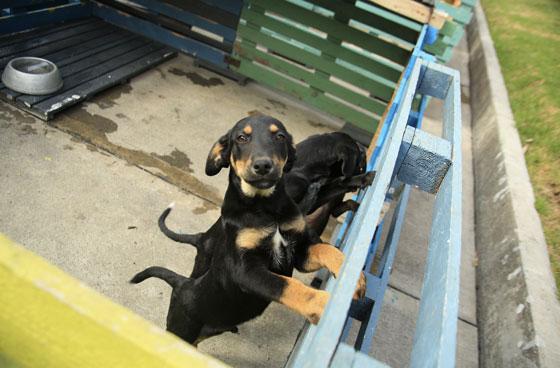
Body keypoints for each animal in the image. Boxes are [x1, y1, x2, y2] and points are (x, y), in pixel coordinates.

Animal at [131, 115, 368, 344]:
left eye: (279, 136)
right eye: (241, 138)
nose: (263, 166)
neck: (265, 207)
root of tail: (181, 283)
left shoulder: (298, 252)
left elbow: (327, 250)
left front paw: (354, 279)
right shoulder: (245, 270)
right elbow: (285, 284)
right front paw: (322, 303)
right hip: (182, 327)